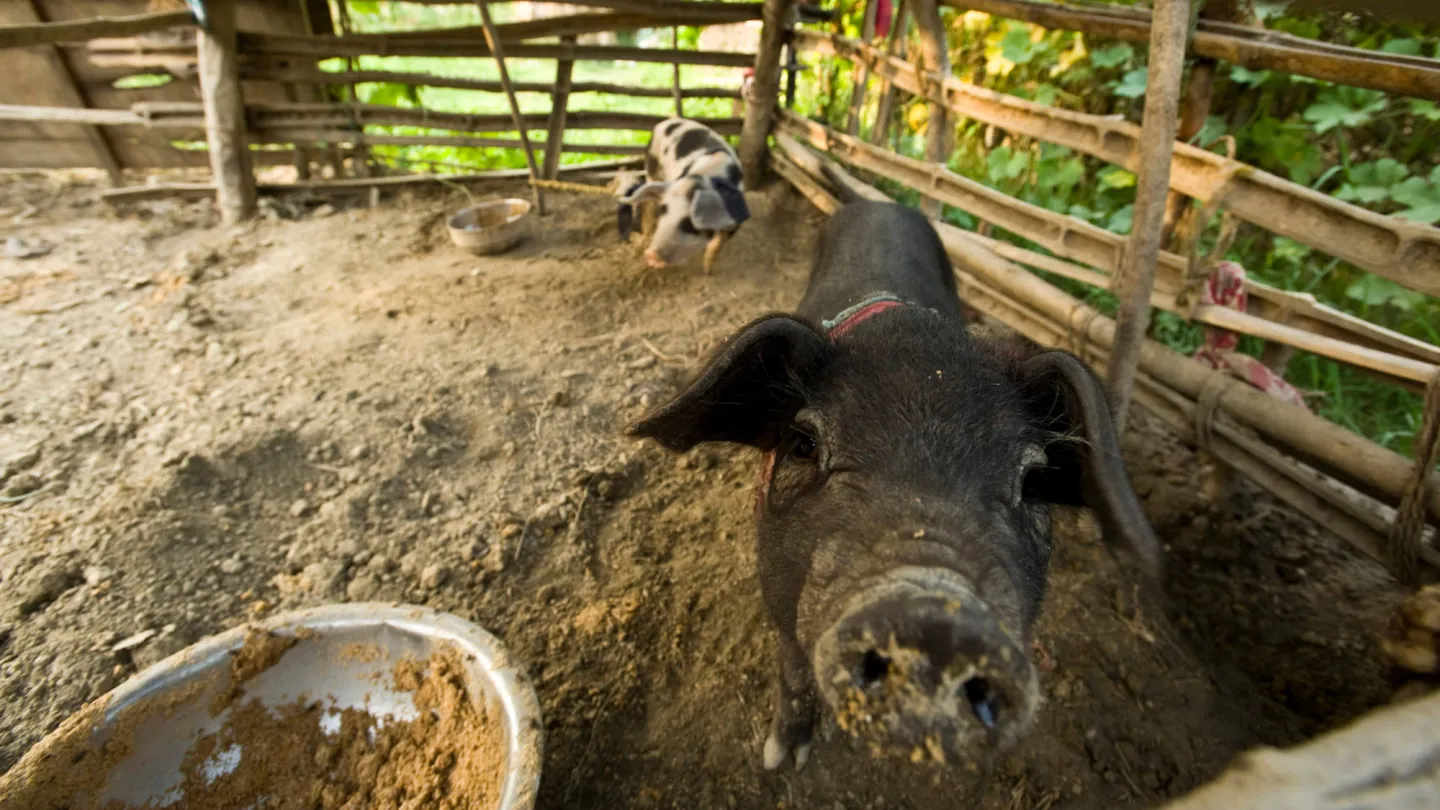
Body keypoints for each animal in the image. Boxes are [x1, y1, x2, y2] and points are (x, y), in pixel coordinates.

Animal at [615, 117, 750, 273]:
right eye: (663, 210)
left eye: (690, 222)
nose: (651, 255)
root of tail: (666, 121)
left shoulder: (735, 222)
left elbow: (716, 244)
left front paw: (707, 271)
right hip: (652, 167)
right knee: (648, 210)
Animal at [627, 200, 1162, 769]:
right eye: (805, 443)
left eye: (1032, 478)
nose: (933, 617)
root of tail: (882, 203)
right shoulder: (776, 590)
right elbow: (793, 664)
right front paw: (782, 757)